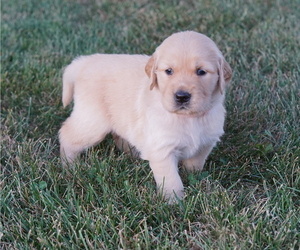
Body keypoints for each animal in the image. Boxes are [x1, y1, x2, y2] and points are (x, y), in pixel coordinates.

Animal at [59, 30, 232, 203]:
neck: (189, 118)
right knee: (67, 134)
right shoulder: (162, 149)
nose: (182, 96)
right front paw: (174, 202)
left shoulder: (205, 143)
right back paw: (70, 166)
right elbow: (171, 180)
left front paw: (195, 180)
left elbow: (195, 165)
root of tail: (85, 62)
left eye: (201, 71)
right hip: (93, 122)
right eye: (169, 71)